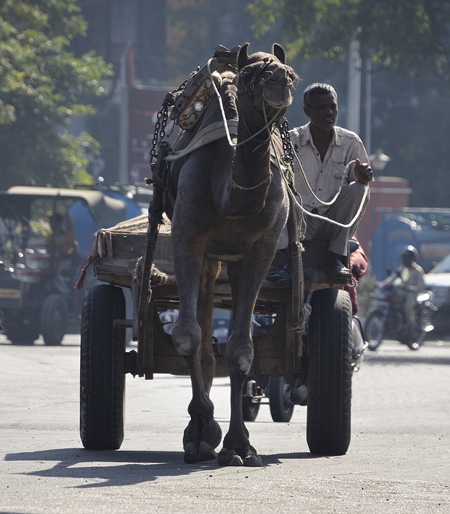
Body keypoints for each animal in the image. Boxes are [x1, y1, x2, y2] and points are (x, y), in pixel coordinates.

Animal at [167, 44, 298, 464]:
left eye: (292, 73)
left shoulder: (263, 246)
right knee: (204, 327)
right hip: (210, 257)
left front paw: (240, 447)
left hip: (235, 261)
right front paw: (201, 433)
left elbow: (242, 349)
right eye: (251, 74)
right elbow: (187, 335)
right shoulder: (187, 236)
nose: (280, 80)